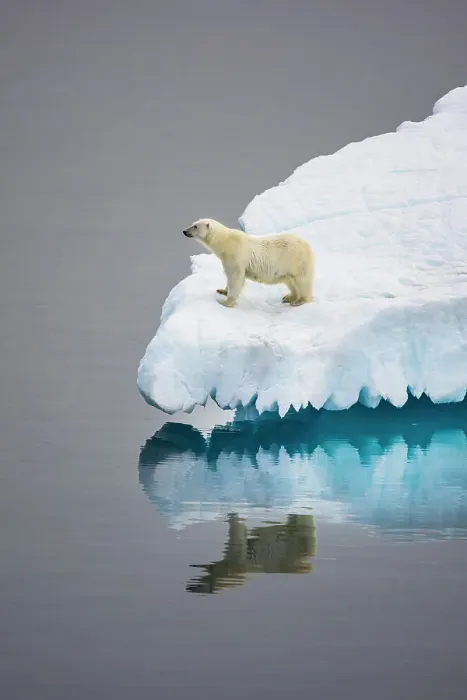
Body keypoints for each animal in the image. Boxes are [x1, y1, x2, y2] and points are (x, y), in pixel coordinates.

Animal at [182, 218, 314, 308]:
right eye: (192, 224)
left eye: (195, 226)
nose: (184, 231)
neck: (225, 242)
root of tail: (307, 245)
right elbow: (228, 276)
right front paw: (222, 290)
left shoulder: (235, 256)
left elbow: (235, 277)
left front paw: (225, 302)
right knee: (289, 280)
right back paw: (289, 297)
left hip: (296, 260)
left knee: (302, 281)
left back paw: (300, 300)